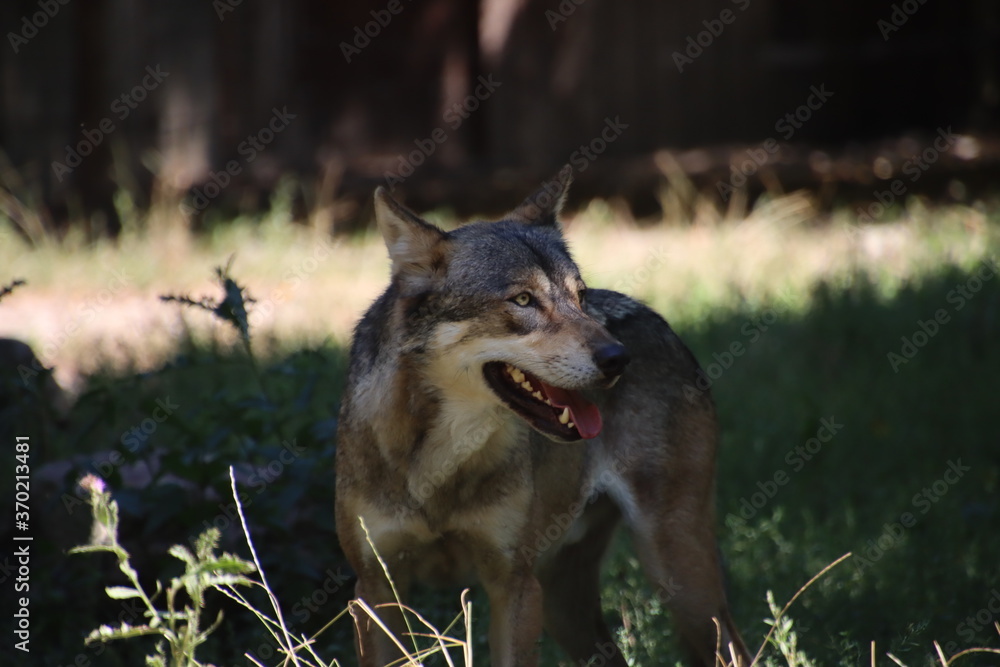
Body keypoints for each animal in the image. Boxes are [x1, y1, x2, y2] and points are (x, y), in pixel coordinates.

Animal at [335, 167, 751, 667]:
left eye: (580, 296)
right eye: (523, 300)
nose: (618, 358)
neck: (441, 461)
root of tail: (658, 320)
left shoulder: (515, 586)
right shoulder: (375, 591)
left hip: (678, 573)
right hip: (567, 605)